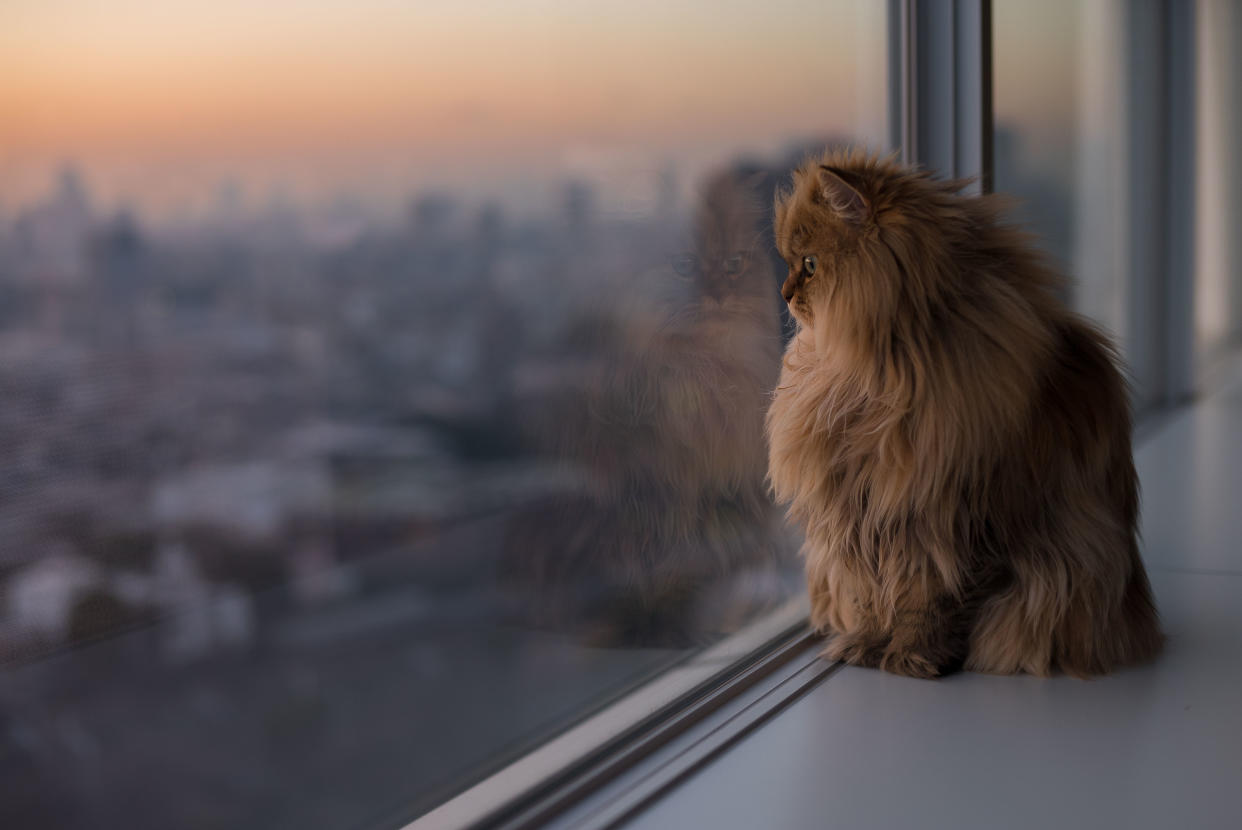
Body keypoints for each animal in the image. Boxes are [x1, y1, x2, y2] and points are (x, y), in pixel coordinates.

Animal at [765, 150, 1162, 680]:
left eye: (809, 265)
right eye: (791, 264)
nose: (784, 292)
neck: (881, 374)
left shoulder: (947, 519)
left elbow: (931, 601)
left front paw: (911, 658)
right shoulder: (860, 515)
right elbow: (869, 596)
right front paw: (866, 647)